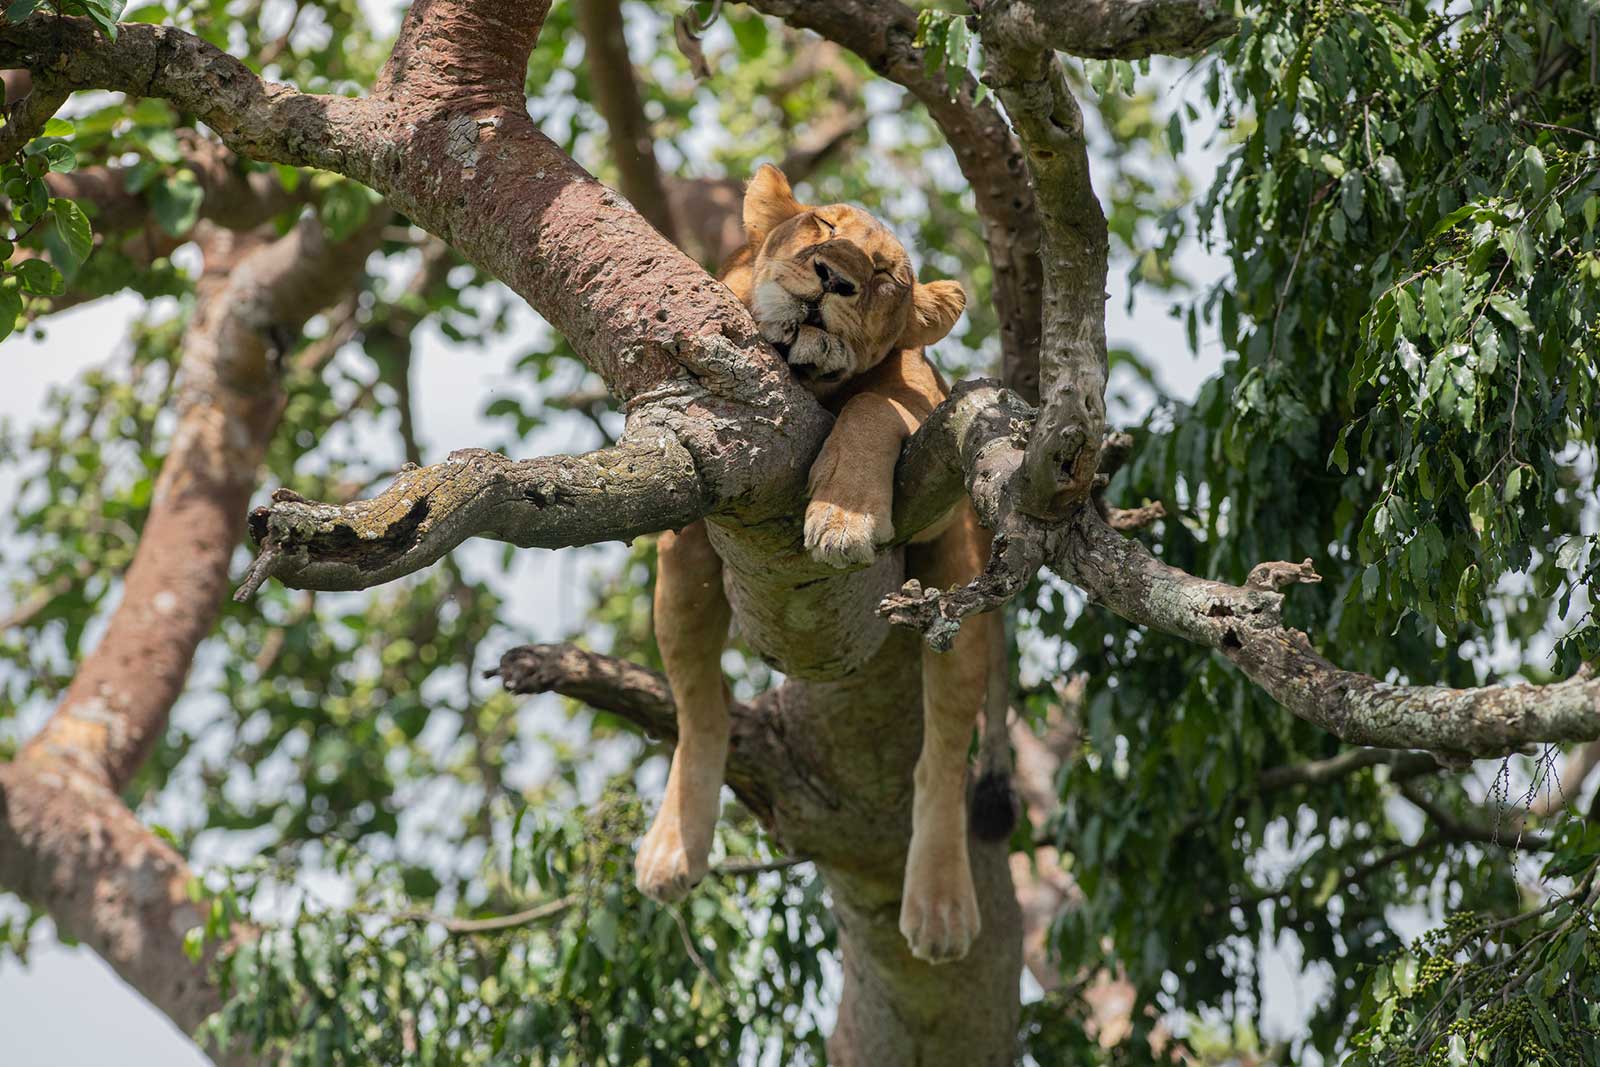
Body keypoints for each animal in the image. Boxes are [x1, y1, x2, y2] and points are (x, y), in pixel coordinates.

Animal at [635, 164, 1007, 964]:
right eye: (822, 225)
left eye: (888, 275)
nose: (835, 278)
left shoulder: (926, 397)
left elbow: (872, 412)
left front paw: (842, 518)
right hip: (682, 576)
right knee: (700, 707)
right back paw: (672, 847)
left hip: (960, 586)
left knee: (942, 753)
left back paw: (939, 906)